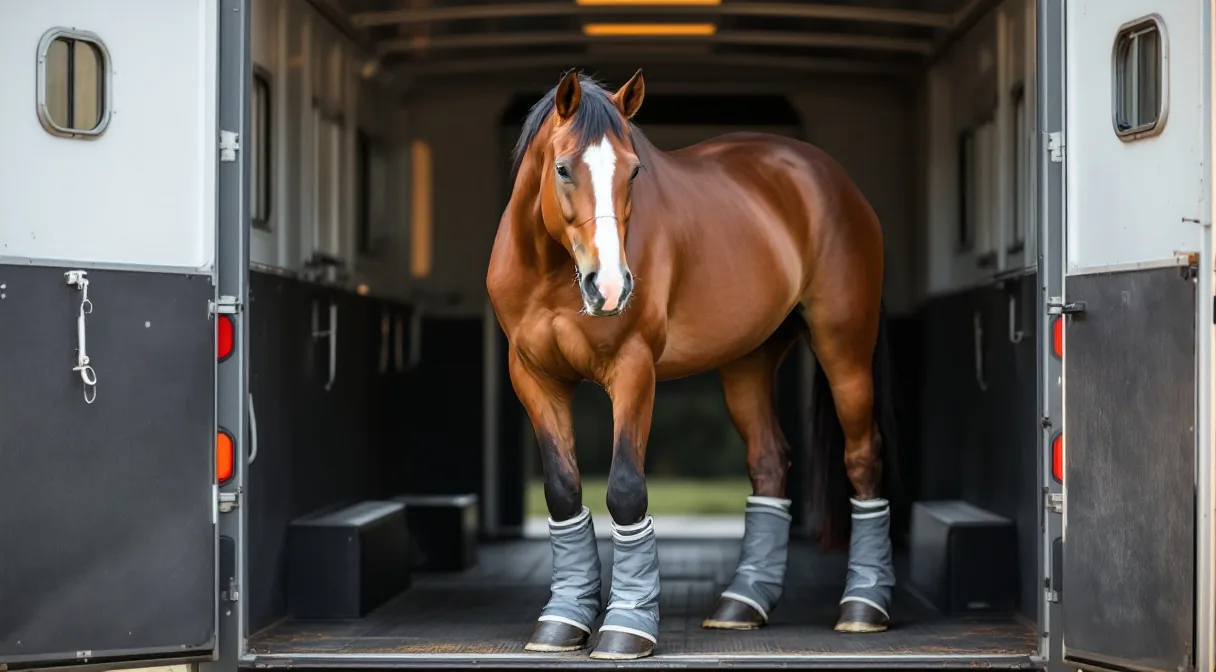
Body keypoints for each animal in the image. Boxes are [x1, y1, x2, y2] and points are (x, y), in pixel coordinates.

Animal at [485, 69, 899, 660]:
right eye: (563, 168)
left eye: (634, 170)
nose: (609, 287)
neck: (549, 273)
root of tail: (835, 182)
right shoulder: (535, 378)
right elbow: (563, 492)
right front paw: (562, 622)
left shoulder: (634, 370)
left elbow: (626, 491)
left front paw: (626, 628)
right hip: (747, 362)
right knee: (769, 462)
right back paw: (741, 605)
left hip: (844, 347)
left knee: (863, 458)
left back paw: (863, 607)